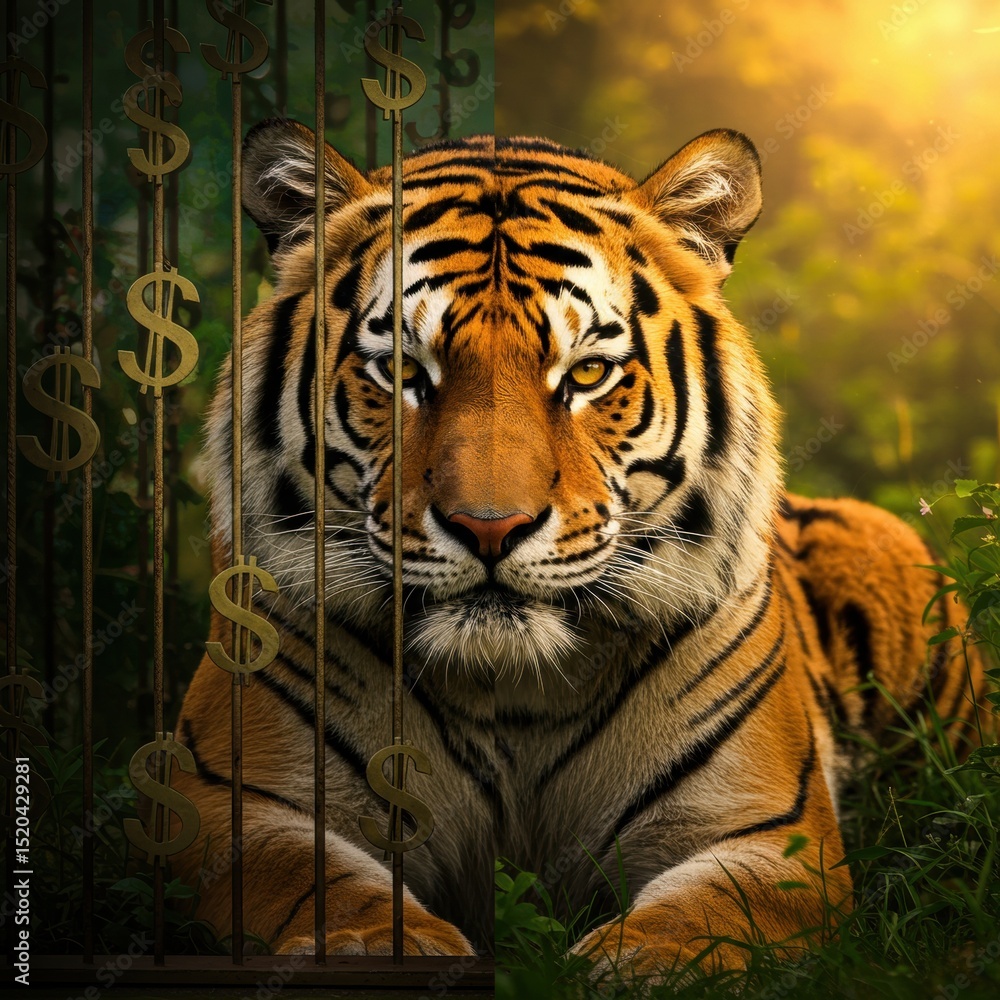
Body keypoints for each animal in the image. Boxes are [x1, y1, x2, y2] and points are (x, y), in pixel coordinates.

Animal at [171, 118, 991, 975]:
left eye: (589, 372)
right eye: (402, 370)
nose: (488, 526)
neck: (512, 695)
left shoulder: (763, 828)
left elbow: (701, 917)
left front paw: (633, 962)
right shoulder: (234, 798)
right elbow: (309, 881)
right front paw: (382, 946)